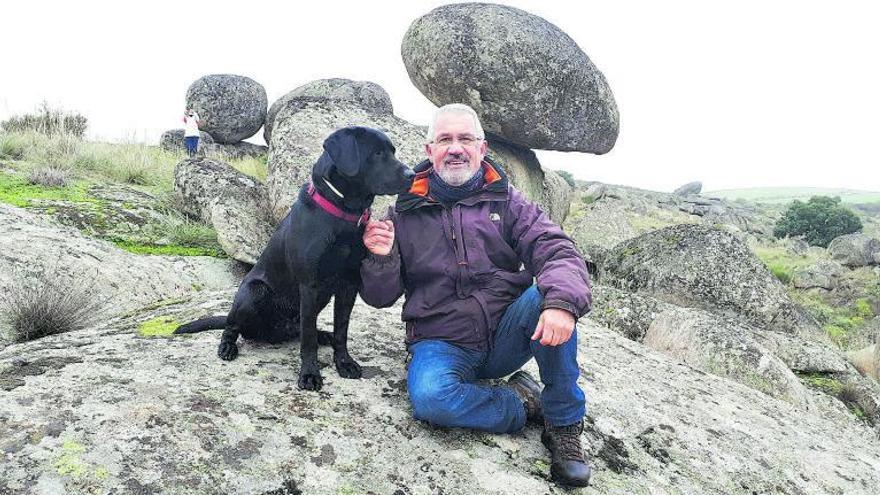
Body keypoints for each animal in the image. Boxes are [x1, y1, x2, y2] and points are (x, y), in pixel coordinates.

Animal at [177, 127, 418, 392]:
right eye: (376, 153)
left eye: (392, 151)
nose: (412, 175)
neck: (342, 215)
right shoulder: (310, 285)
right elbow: (308, 340)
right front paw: (310, 374)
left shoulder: (349, 284)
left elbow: (341, 330)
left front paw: (344, 362)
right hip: (252, 293)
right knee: (233, 327)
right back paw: (228, 346)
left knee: (300, 329)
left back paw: (324, 335)